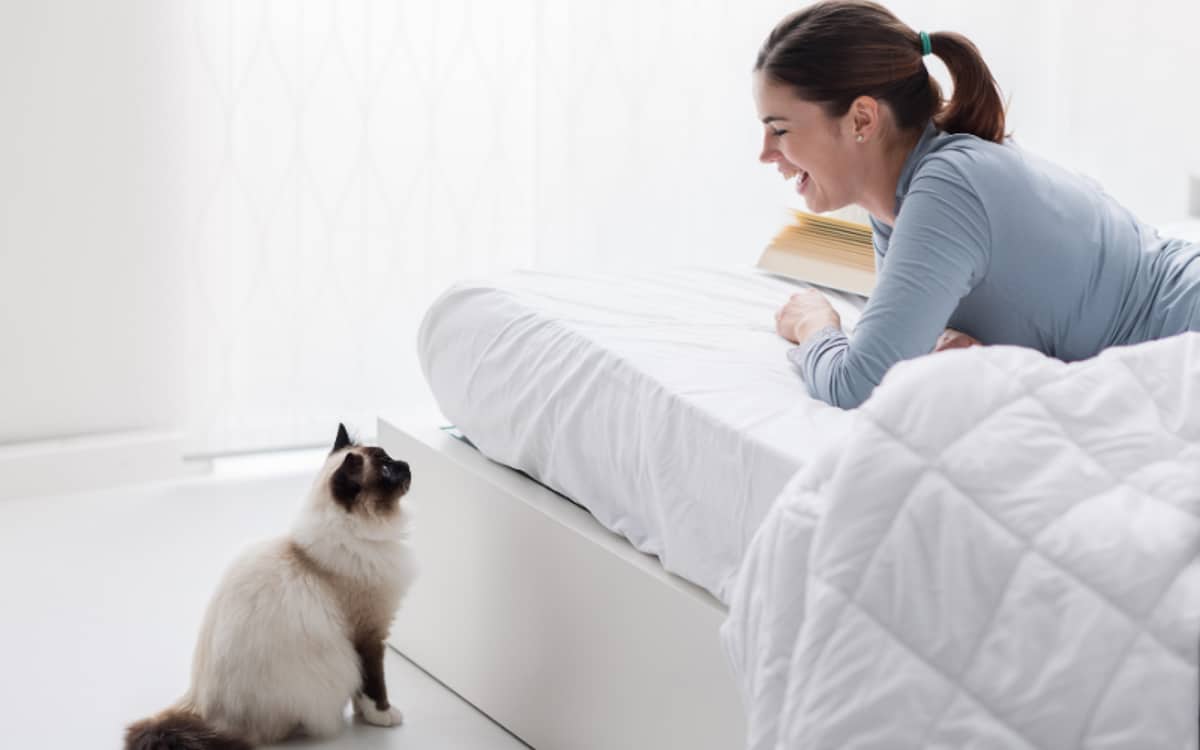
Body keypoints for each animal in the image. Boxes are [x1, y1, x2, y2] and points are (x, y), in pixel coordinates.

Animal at [126, 424, 417, 744]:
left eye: (392, 459)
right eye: (386, 469)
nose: (406, 464)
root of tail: (200, 708)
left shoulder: (369, 632)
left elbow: (360, 693)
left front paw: (363, 717)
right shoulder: (368, 635)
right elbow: (373, 684)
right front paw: (383, 717)